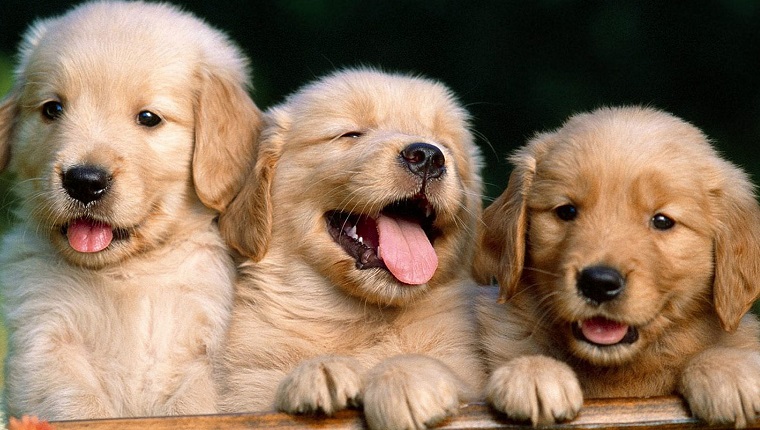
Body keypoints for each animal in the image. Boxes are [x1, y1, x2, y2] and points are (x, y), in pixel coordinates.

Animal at [0, 0, 262, 420]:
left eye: (149, 118)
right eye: (52, 109)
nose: (84, 181)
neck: (129, 274)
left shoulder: (209, 355)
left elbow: (193, 407)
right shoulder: (45, 343)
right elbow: (78, 406)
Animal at [217, 68, 484, 430]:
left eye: (446, 146)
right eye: (350, 134)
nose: (428, 156)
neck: (359, 316)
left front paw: (406, 379)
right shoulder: (245, 389)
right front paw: (321, 371)